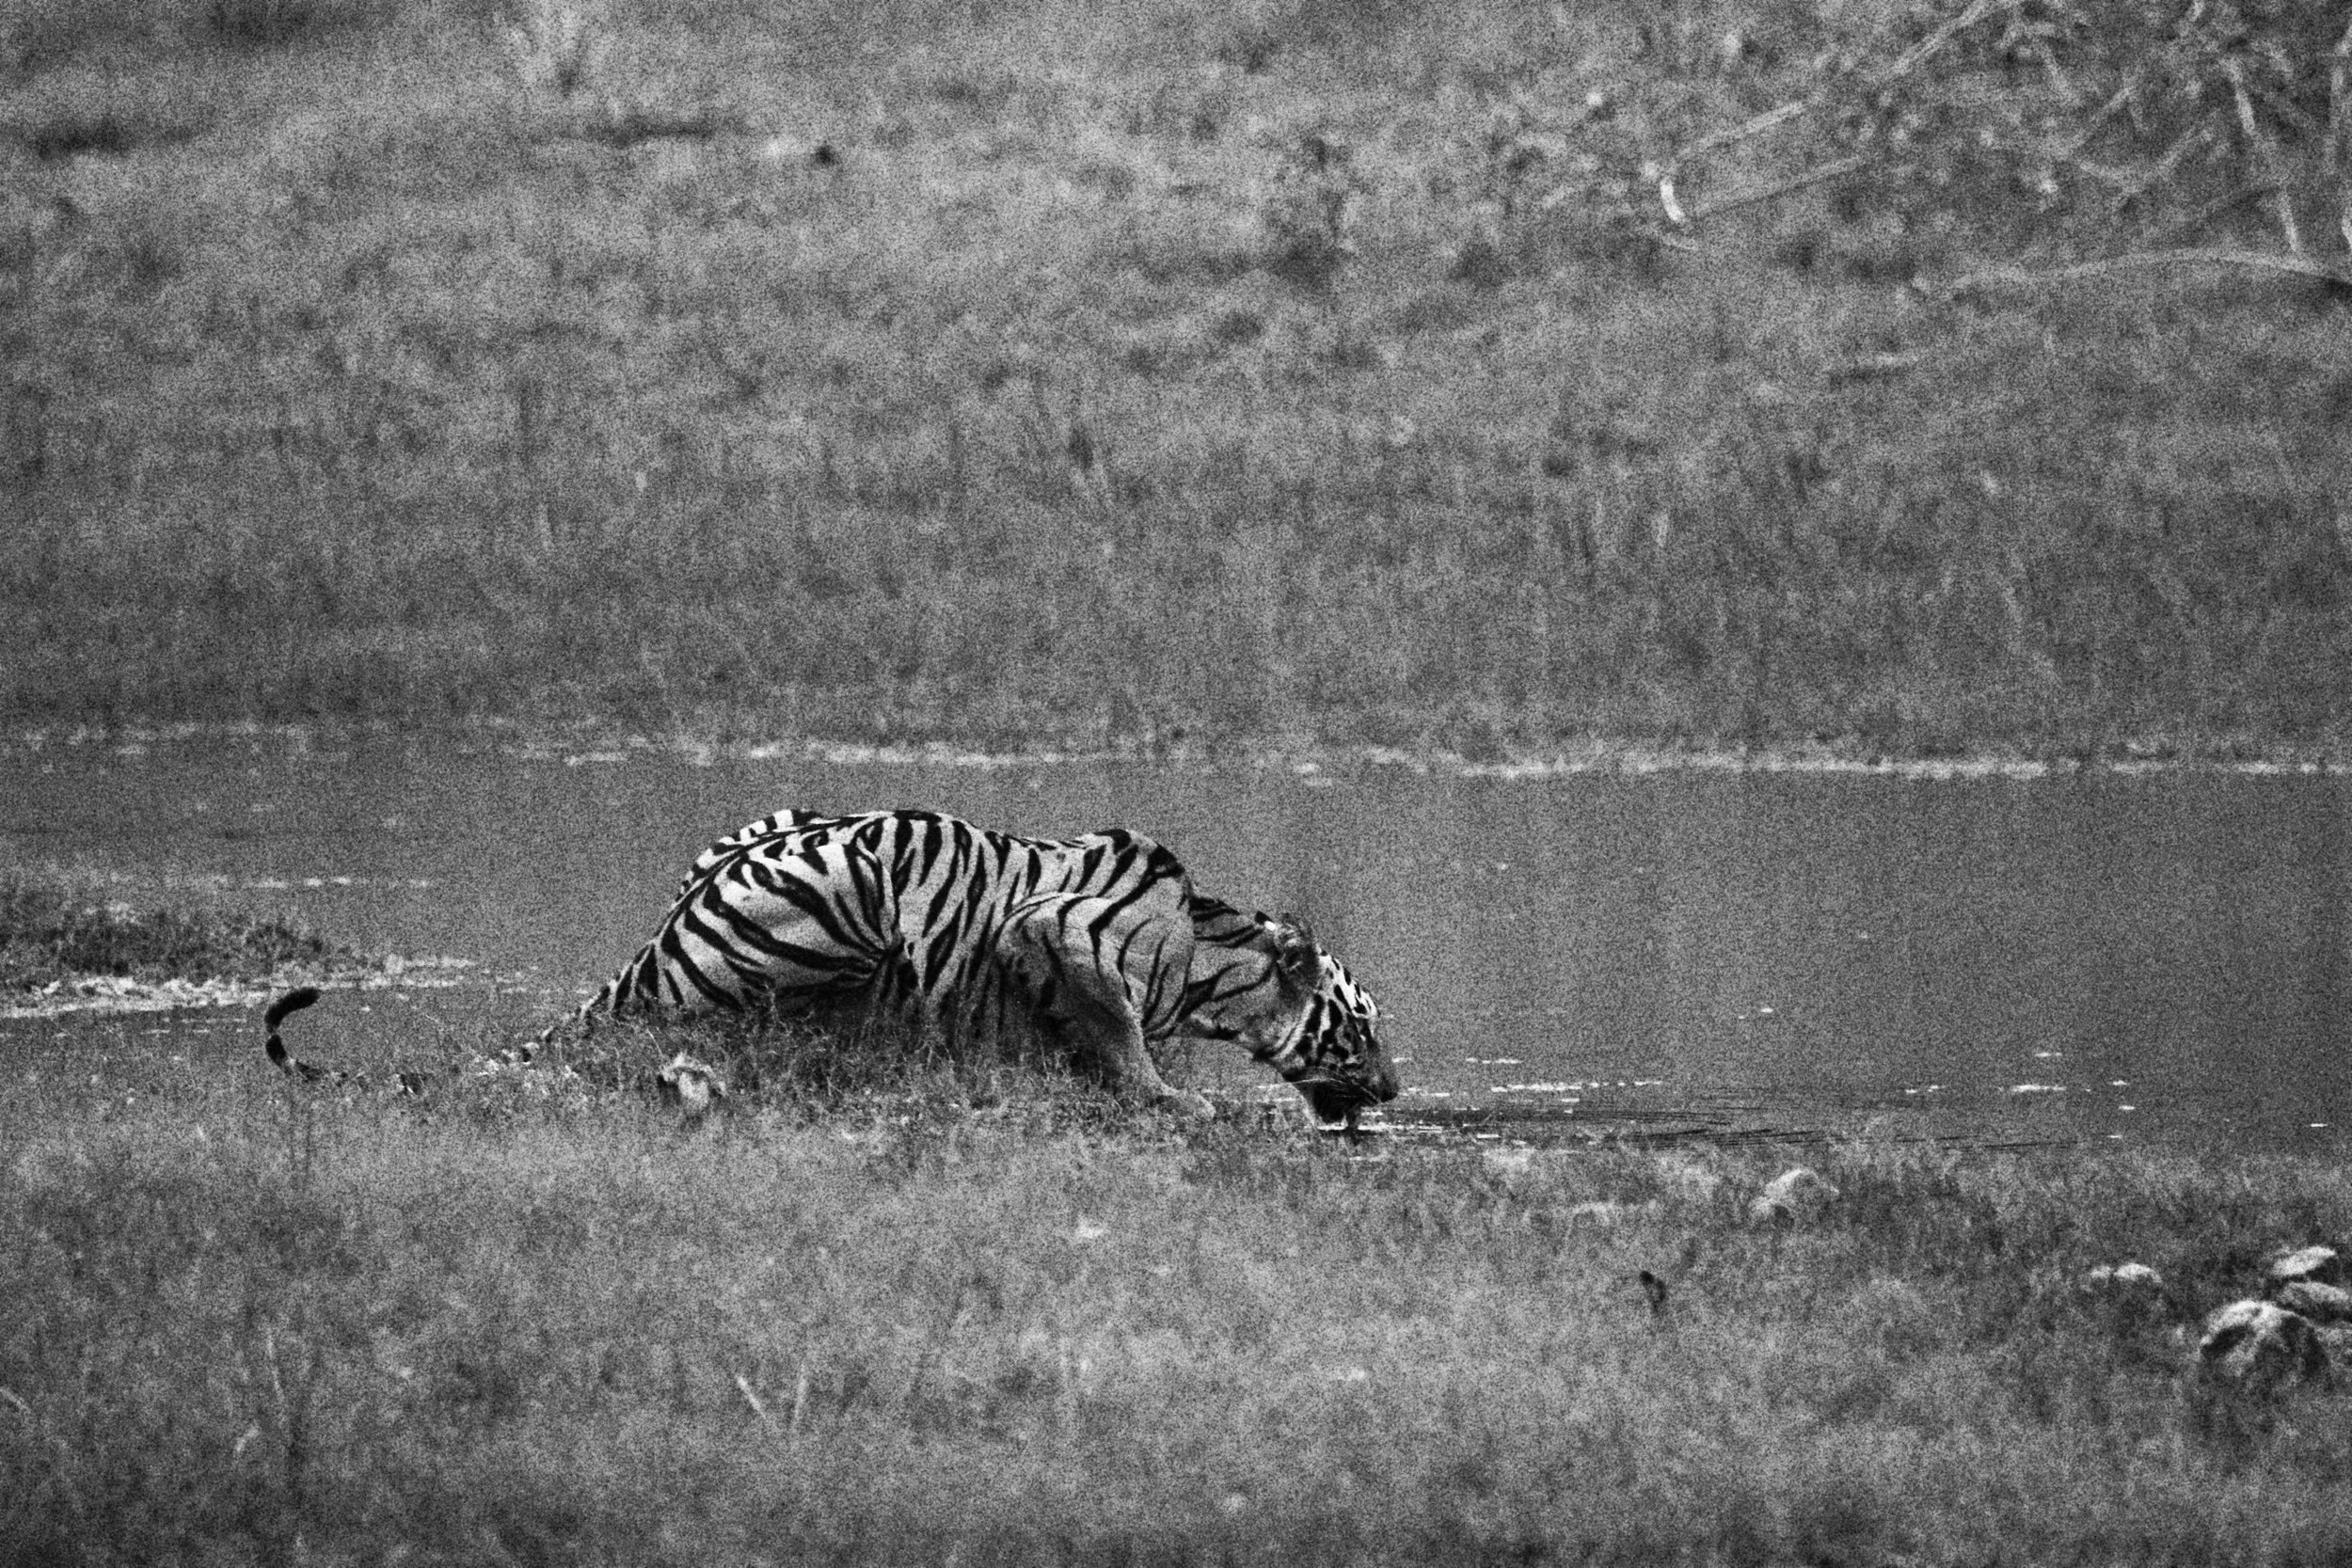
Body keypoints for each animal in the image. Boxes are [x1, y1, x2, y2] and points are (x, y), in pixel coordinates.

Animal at [553, 807, 1398, 1123]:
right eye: (1362, 1025)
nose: (1393, 1089)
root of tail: (657, 937)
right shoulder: (1056, 925)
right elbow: (1117, 1027)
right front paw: (1166, 1095)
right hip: (856, 887)